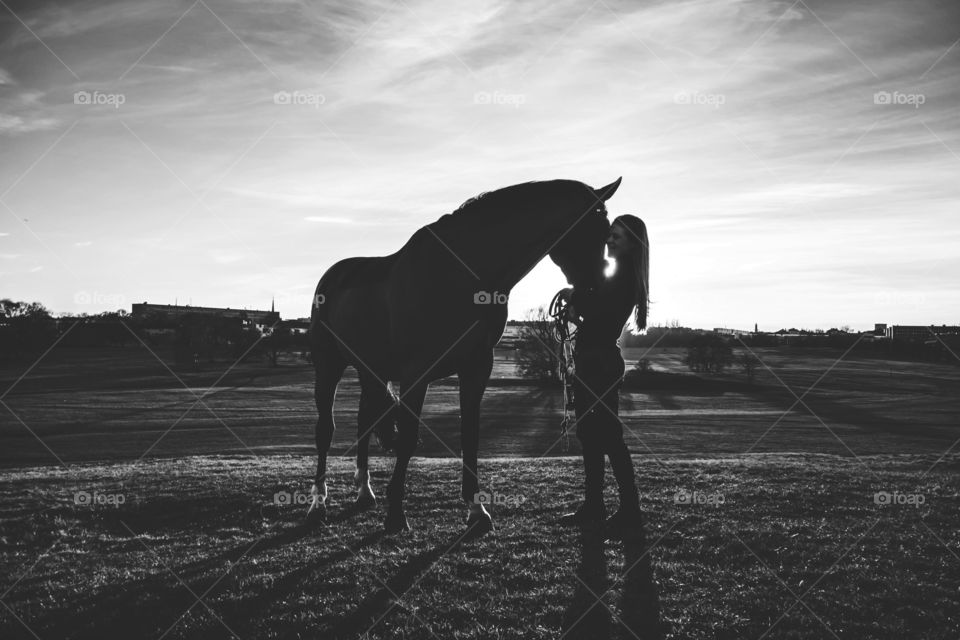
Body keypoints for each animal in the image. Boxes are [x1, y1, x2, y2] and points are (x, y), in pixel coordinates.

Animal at [310, 178, 624, 532]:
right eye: (593, 232)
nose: (598, 289)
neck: (461, 275)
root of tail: (333, 276)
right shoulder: (417, 371)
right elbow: (408, 437)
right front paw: (396, 516)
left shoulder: (477, 366)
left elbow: (470, 434)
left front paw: (477, 511)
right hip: (329, 366)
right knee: (325, 431)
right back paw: (317, 505)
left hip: (371, 370)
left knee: (365, 422)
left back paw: (365, 492)